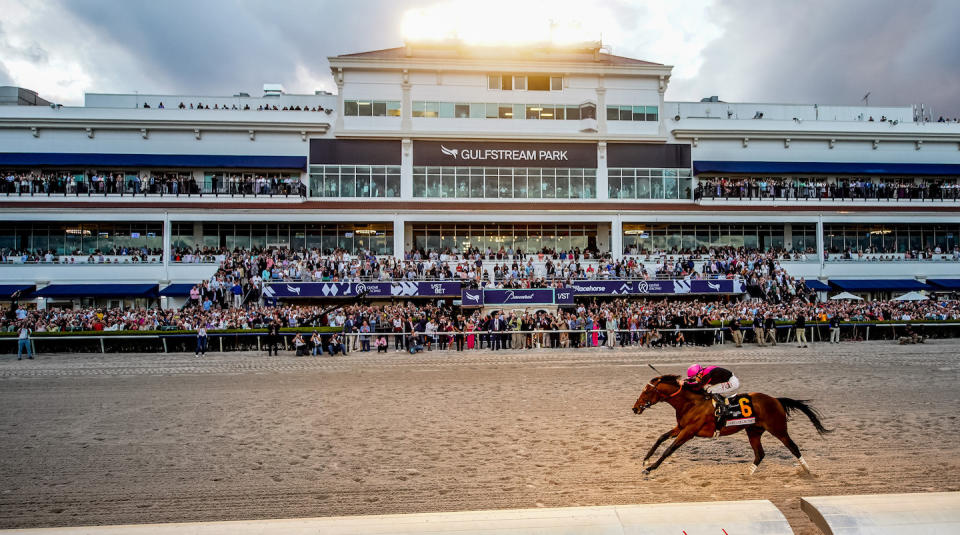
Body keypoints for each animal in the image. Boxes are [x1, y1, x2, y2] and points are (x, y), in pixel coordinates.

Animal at [632, 376, 832, 478]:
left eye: (646, 391)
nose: (635, 408)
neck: (691, 403)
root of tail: (776, 400)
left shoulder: (688, 432)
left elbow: (669, 450)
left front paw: (649, 469)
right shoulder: (680, 427)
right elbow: (660, 438)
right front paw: (646, 460)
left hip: (778, 429)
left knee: (793, 446)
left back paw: (807, 470)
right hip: (753, 431)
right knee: (760, 454)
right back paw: (748, 473)